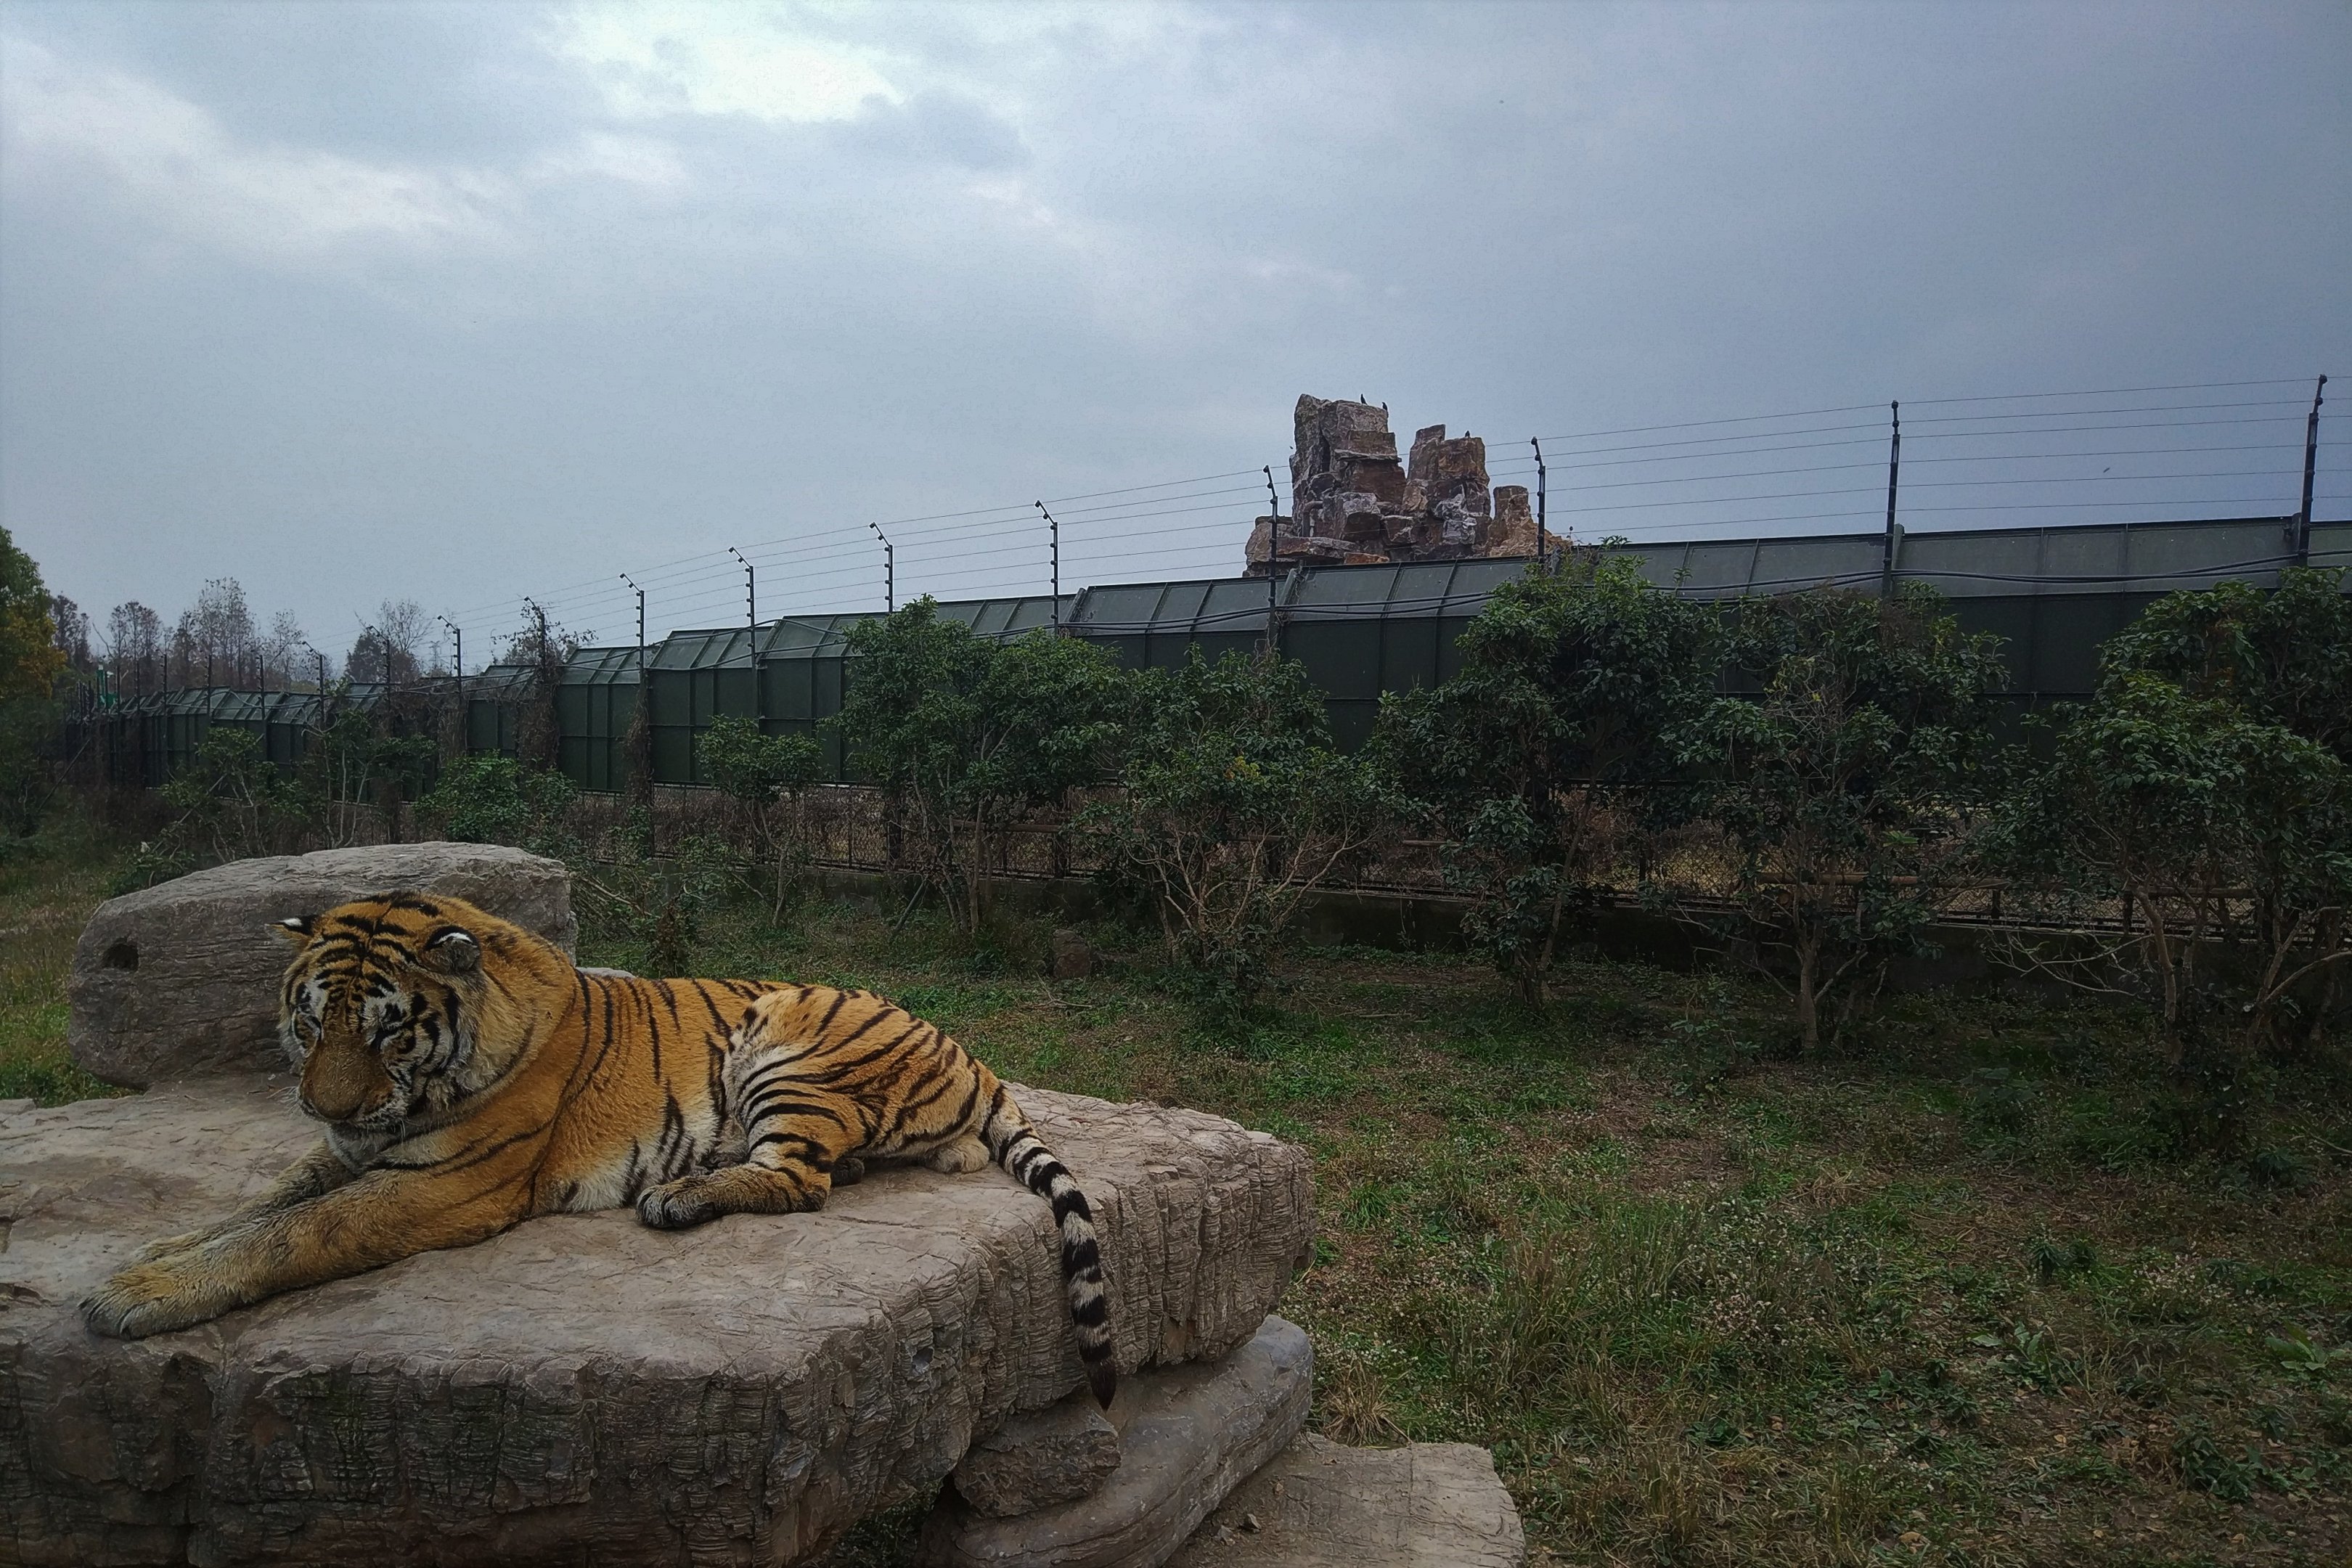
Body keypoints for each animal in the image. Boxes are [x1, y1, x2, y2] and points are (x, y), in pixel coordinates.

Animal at [79, 890, 1118, 1407]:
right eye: (308, 1020)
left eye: (386, 1030)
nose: (318, 1103)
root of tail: (971, 1053)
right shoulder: (351, 1153)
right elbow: (260, 1205)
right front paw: (148, 1257)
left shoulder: (447, 1183)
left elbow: (296, 1233)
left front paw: (133, 1295)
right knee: (830, 1168)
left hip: (783, 1042)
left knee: (802, 1180)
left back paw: (681, 1196)